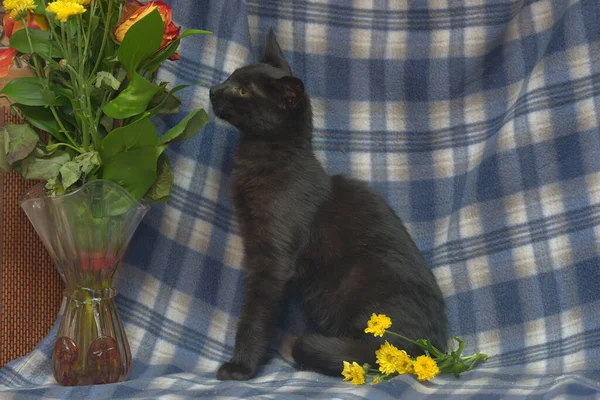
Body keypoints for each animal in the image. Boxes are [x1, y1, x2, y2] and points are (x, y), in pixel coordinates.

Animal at [209, 28, 448, 382]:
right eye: (230, 77)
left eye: (241, 90)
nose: (213, 89)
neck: (269, 158)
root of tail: (430, 350)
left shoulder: (272, 261)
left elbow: (254, 316)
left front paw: (240, 367)